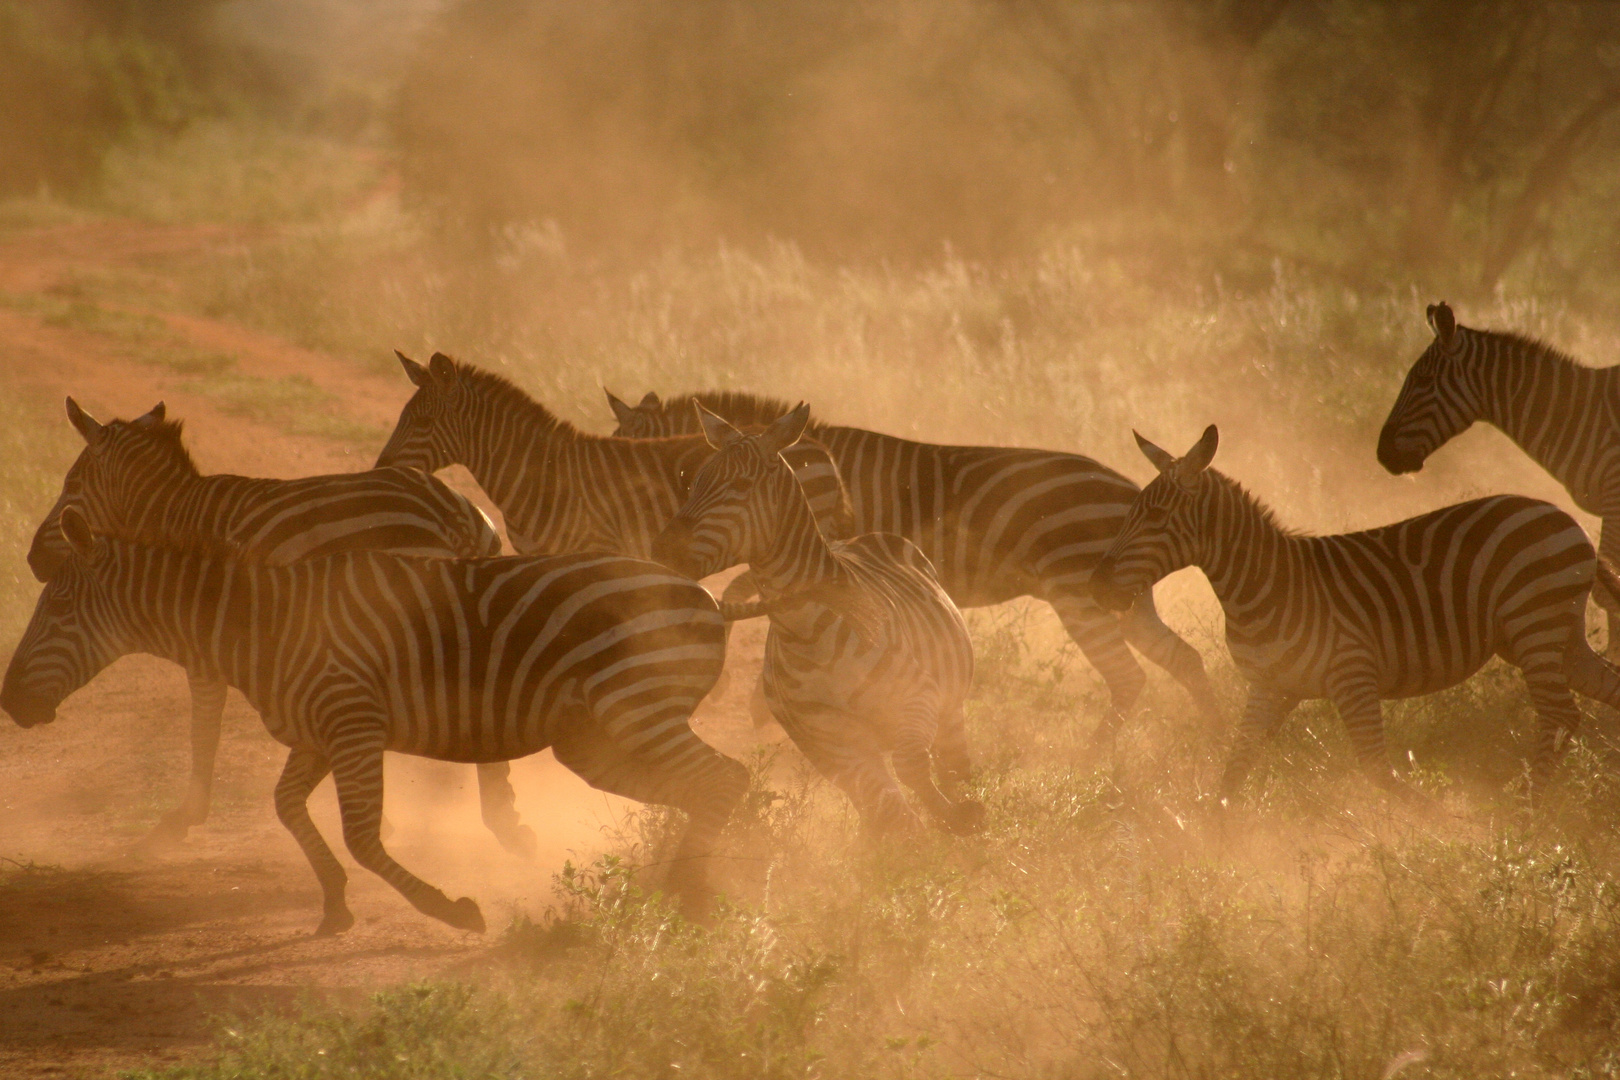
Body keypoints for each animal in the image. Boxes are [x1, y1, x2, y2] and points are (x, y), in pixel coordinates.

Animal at [0, 511, 745, 932]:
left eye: (57, 607)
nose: (9, 702)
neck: (262, 626)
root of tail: (706, 597)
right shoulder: (316, 732)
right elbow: (286, 806)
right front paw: (333, 902)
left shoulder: (352, 722)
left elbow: (361, 837)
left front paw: (450, 910)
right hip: (596, 740)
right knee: (719, 788)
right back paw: (734, 880)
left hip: (634, 712)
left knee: (726, 779)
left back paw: (694, 894)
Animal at [28, 393, 537, 854]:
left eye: (71, 484)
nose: (33, 561)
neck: (171, 516)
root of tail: (450, 512)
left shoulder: (203, 635)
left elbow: (203, 726)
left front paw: (180, 821)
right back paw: (507, 821)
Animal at [644, 404, 972, 835]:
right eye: (695, 483)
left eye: (742, 484)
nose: (662, 551)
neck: (805, 629)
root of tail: (858, 538)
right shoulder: (826, 737)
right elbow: (886, 807)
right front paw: (909, 844)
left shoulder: (916, 698)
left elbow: (913, 767)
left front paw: (958, 822)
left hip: (950, 708)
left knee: (955, 764)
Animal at [1088, 427, 1620, 799]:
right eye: (1130, 511)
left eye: (1156, 517)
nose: (1097, 582)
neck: (1262, 585)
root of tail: (1560, 517)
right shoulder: (1270, 687)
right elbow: (1233, 772)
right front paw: (1214, 845)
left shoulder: (1353, 676)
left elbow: (1377, 770)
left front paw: (1435, 821)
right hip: (1551, 637)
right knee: (1600, 693)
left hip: (1534, 626)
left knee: (1559, 714)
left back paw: (1523, 808)